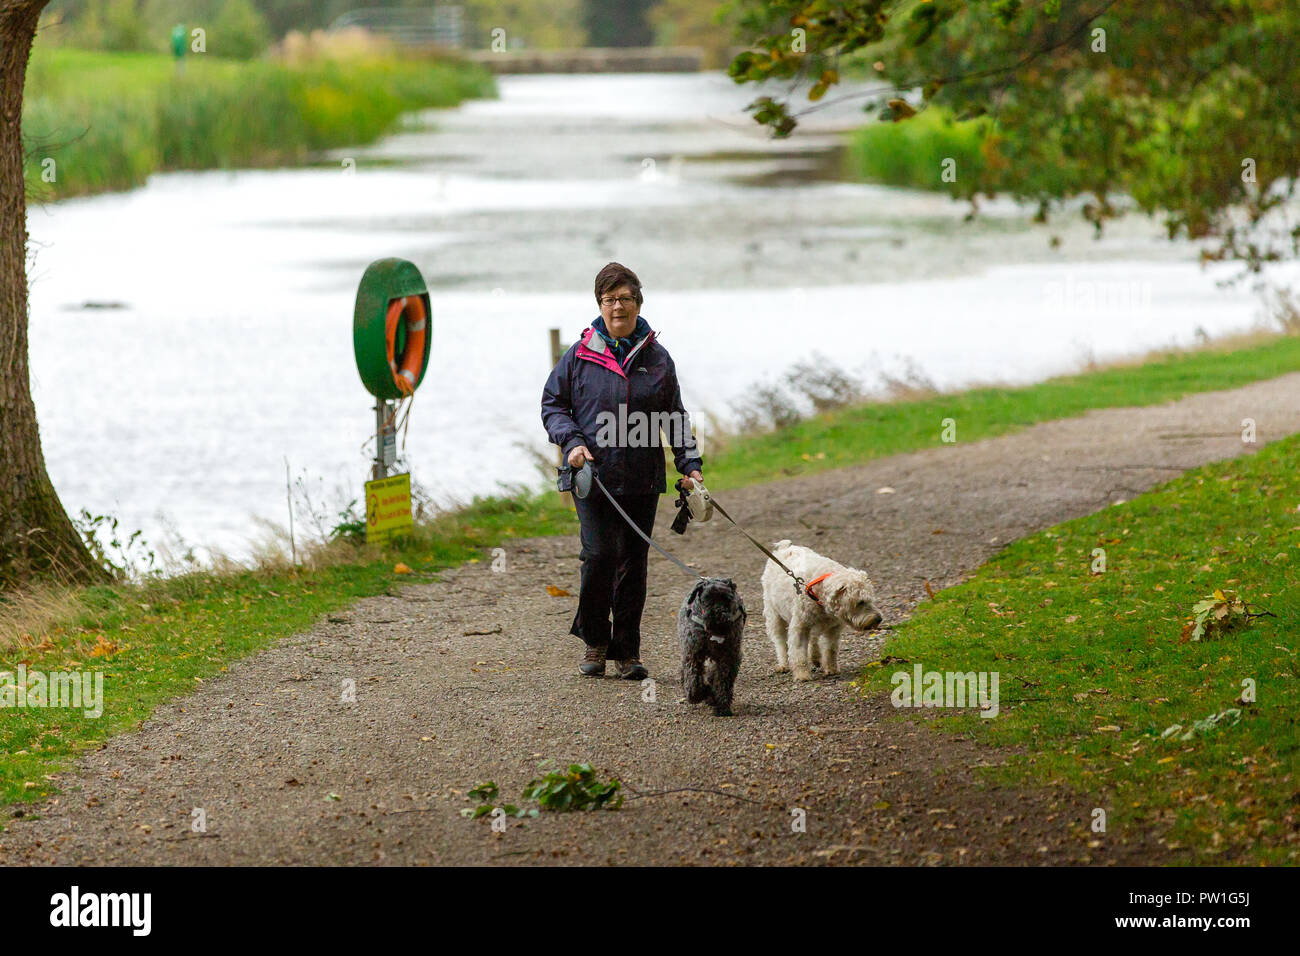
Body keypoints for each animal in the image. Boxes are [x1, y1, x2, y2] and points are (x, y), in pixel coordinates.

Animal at [681, 574, 743, 717]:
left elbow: (723, 681)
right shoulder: (694, 654)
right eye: (707, 598)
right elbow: (694, 681)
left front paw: (722, 706)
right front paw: (700, 694)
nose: (719, 619)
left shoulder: (728, 657)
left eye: (727, 599)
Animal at [759, 541, 883, 686]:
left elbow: (830, 649)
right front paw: (802, 674)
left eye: (870, 599)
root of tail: (784, 547)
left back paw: (815, 657)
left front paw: (831, 669)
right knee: (781, 643)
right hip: (774, 616)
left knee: (813, 639)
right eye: (860, 602)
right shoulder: (800, 627)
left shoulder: (833, 628)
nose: (878, 619)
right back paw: (784, 664)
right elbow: (799, 652)